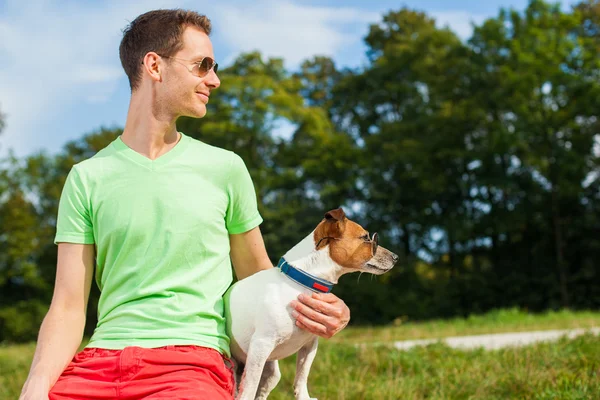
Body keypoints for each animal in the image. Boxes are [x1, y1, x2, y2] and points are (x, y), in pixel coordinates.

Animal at [225, 208, 398, 398]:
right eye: (366, 238)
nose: (396, 257)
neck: (302, 283)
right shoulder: (261, 345)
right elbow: (249, 388)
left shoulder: (309, 345)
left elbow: (302, 377)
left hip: (271, 374)